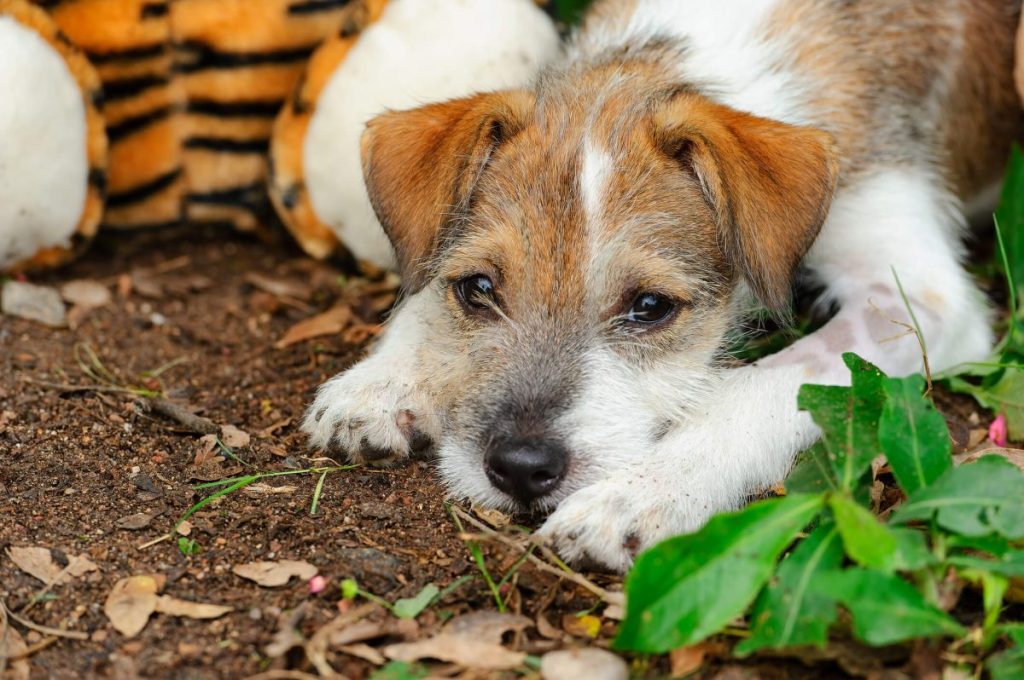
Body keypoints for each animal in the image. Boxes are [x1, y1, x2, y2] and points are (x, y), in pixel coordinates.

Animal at [301, 1, 1024, 573]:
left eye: (649, 306)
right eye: (478, 288)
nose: (520, 468)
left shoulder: (917, 295)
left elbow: (759, 384)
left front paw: (642, 493)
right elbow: (423, 288)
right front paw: (383, 381)